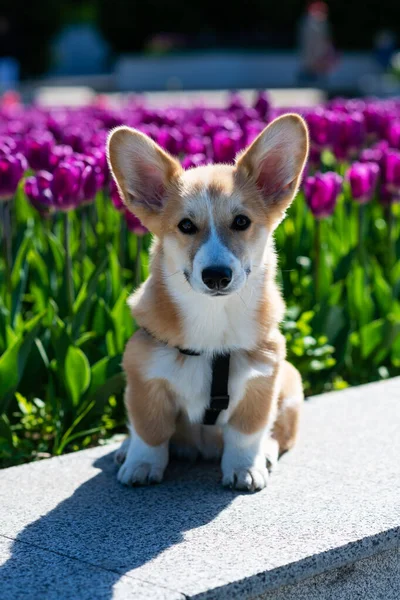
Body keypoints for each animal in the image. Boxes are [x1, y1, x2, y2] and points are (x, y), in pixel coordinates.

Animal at [107, 113, 310, 492]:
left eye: (242, 222)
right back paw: (125, 449)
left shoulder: (262, 380)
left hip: (291, 387)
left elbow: (246, 435)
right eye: (186, 225)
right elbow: (149, 432)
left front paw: (245, 469)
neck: (213, 317)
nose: (216, 276)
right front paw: (141, 465)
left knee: (279, 435)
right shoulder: (144, 379)